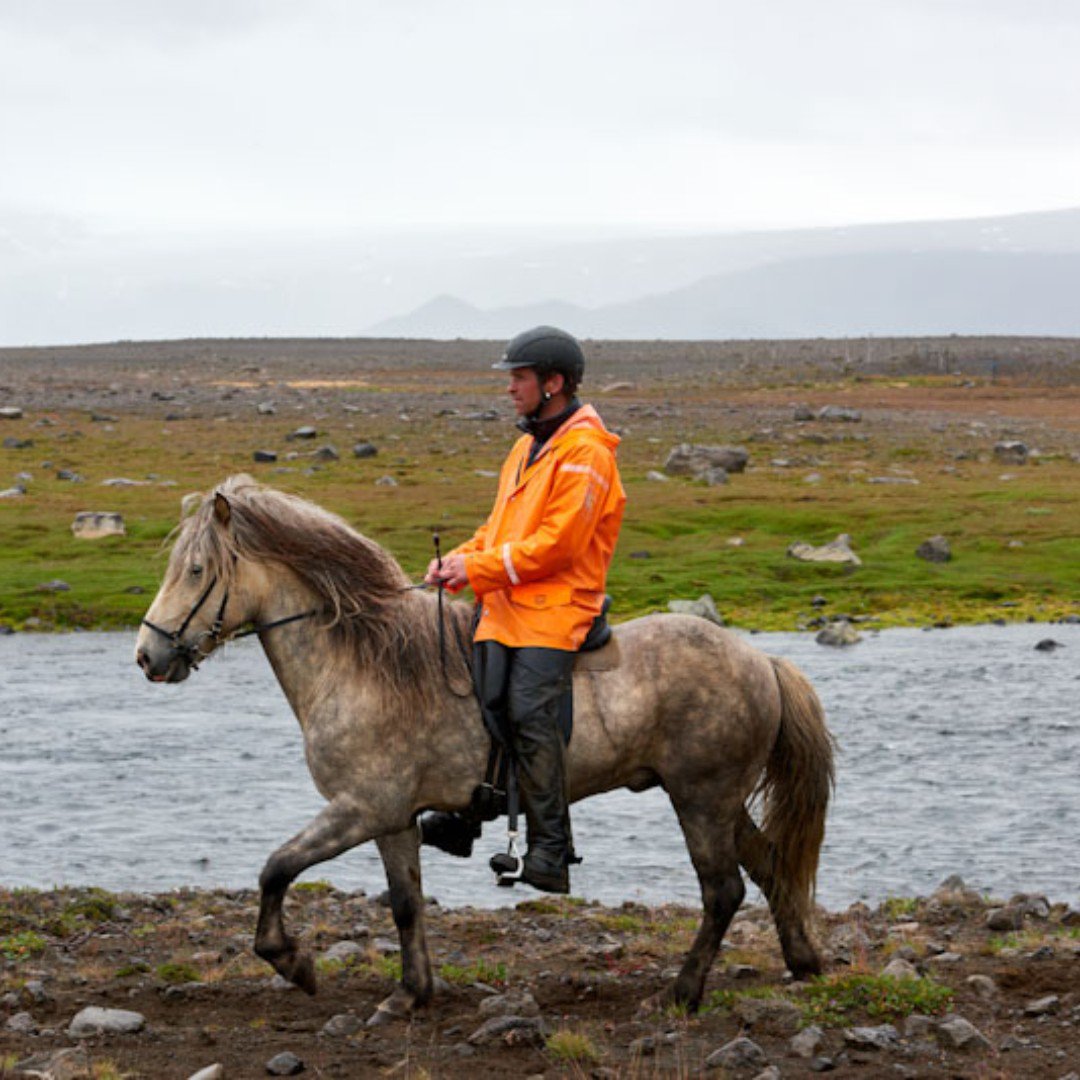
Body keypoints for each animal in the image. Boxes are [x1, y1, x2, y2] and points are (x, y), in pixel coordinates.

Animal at [135, 474, 834, 1024]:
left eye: (195, 571)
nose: (147, 656)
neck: (364, 663)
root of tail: (762, 662)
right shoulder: (392, 818)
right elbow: (405, 904)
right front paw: (410, 995)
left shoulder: (359, 808)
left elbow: (276, 868)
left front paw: (293, 962)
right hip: (717, 800)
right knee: (769, 868)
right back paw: (803, 962)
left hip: (701, 799)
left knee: (723, 891)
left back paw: (680, 995)